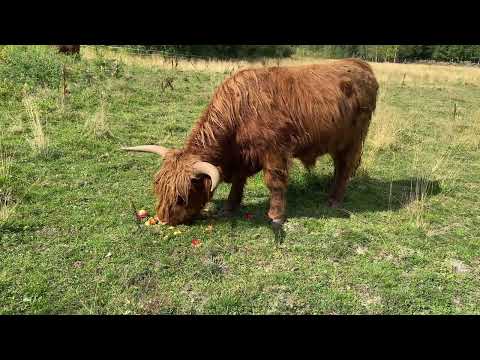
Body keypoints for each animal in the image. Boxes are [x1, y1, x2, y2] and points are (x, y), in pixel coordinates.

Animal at [124, 57, 378, 224]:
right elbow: (238, 181)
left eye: (181, 197)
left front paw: (276, 216)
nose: (163, 219)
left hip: (354, 140)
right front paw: (229, 207)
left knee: (345, 167)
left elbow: (274, 183)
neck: (240, 111)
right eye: (158, 188)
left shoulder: (275, 151)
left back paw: (334, 200)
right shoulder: (242, 156)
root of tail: (362, 65)